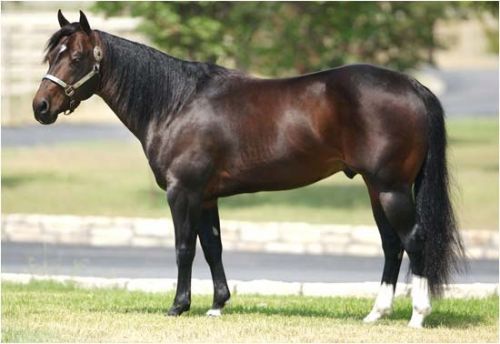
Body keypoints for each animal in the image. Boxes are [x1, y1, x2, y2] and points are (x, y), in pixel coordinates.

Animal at [32, 11, 464, 328]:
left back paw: (417, 316)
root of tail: (413, 86)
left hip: (391, 188)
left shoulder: (182, 192)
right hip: (377, 189)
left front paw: (178, 306)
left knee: (414, 240)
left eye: (75, 58)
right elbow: (213, 248)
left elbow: (185, 248)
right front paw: (217, 305)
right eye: (52, 56)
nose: (41, 107)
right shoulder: (206, 197)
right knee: (392, 245)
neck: (176, 103)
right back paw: (376, 313)